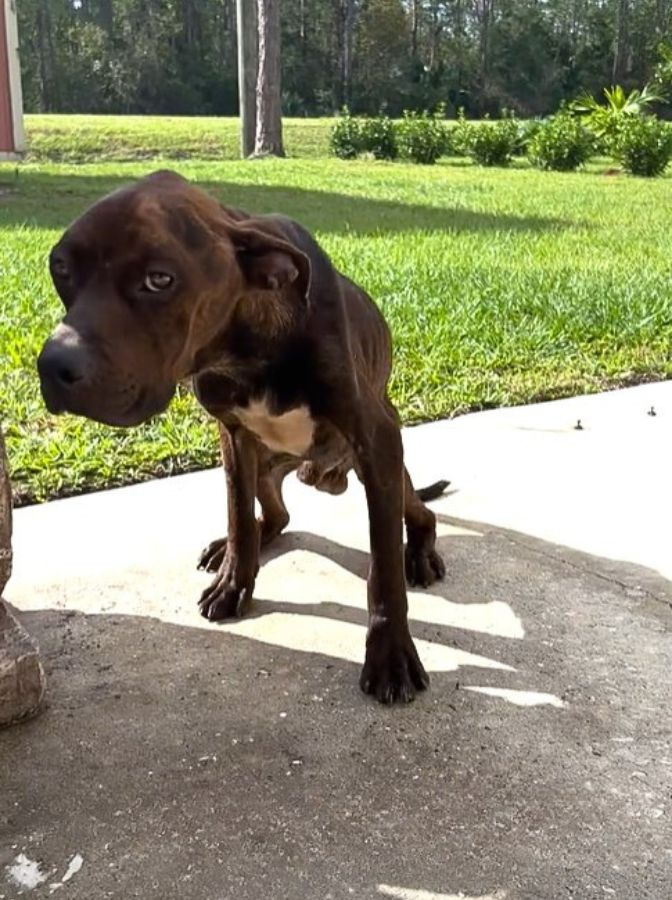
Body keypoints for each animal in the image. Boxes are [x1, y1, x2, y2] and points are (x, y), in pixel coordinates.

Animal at [36, 169, 446, 704]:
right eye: (61, 267)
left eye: (159, 279)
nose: (52, 365)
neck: (246, 347)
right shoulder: (232, 437)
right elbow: (237, 516)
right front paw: (233, 582)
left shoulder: (376, 441)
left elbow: (384, 569)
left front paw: (391, 653)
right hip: (265, 469)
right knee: (273, 516)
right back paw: (230, 548)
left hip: (385, 474)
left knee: (418, 513)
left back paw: (420, 551)